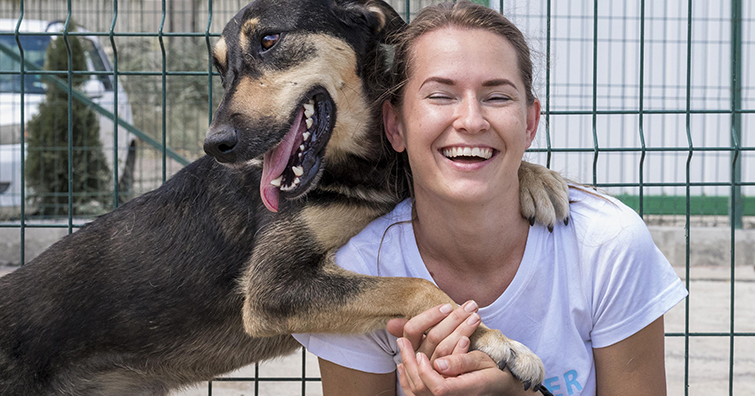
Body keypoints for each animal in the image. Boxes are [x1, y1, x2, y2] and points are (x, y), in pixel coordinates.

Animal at [0, 1, 568, 394]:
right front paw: (499, 343)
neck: (360, 167)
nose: (216, 144)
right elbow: (416, 287)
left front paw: (539, 181)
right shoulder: (271, 289)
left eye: (270, 40)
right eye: (220, 67)